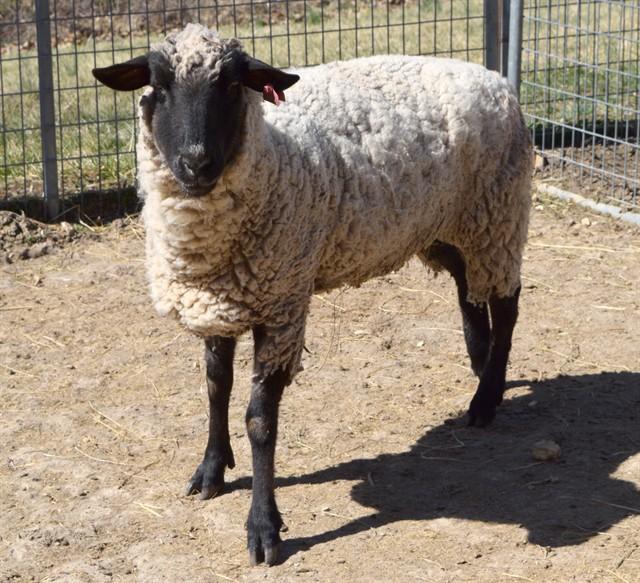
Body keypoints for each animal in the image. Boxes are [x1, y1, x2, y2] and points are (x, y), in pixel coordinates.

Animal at [92, 23, 532, 565]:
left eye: (231, 85)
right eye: (158, 85)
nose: (196, 163)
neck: (273, 156)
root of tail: (493, 78)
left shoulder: (282, 306)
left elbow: (260, 421)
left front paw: (263, 527)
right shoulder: (217, 301)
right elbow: (216, 387)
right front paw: (211, 469)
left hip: (498, 217)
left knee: (506, 304)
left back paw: (487, 396)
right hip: (445, 226)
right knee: (467, 286)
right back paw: (479, 358)